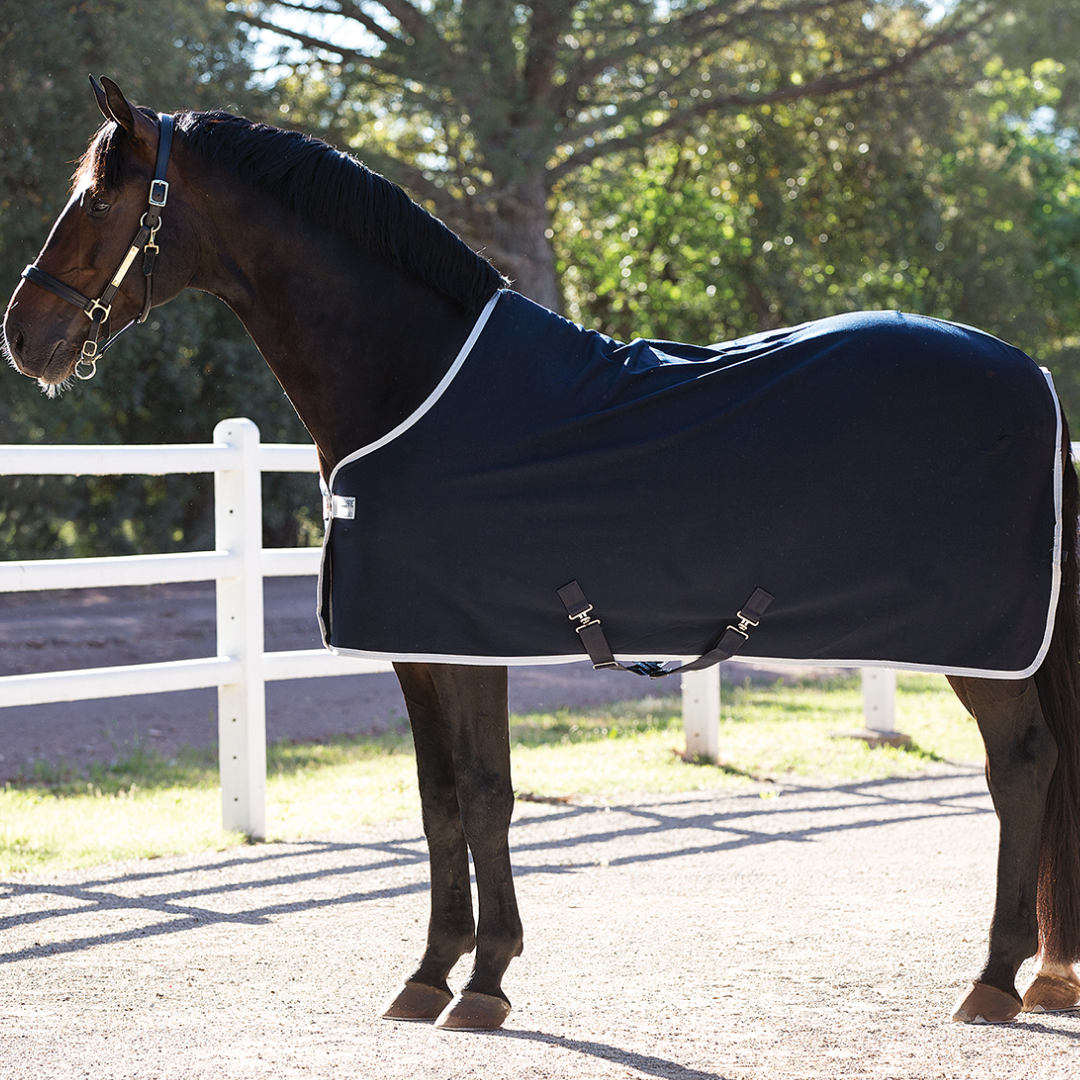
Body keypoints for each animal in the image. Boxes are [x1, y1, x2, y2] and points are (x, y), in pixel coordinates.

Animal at [4, 76, 1080, 1030]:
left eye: (98, 196)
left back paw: (992, 979)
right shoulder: (419, 651)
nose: (23, 336)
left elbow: (486, 797)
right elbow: (439, 802)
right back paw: (1037, 977)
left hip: (980, 645)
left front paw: (485, 984)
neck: (416, 382)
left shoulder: (471, 648)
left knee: (1023, 764)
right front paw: (427, 977)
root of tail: (1033, 375)